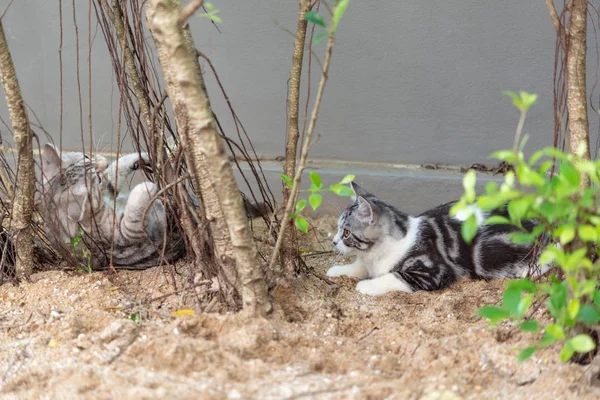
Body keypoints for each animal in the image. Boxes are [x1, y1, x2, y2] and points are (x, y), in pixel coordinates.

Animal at [38, 144, 184, 268]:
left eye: (86, 156)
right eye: (98, 178)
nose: (105, 162)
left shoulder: (110, 190)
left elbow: (116, 169)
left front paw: (142, 156)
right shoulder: (124, 235)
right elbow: (133, 216)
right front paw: (146, 187)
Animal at [326, 183, 548, 296]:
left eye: (346, 233)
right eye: (337, 229)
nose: (334, 241)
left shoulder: (433, 272)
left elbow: (393, 276)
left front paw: (367, 286)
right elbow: (359, 267)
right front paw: (337, 271)